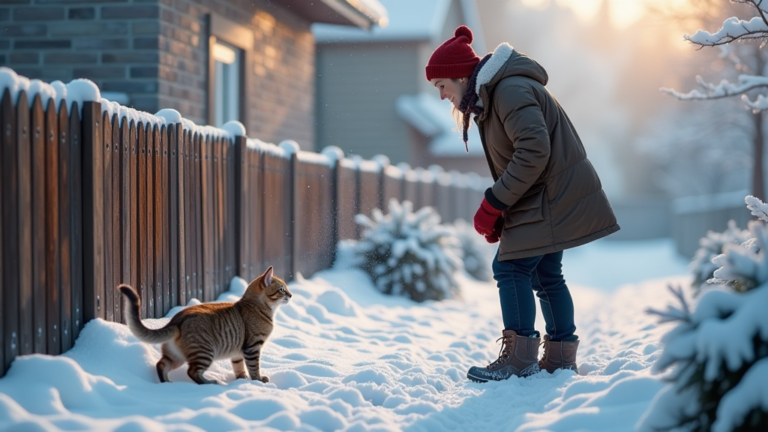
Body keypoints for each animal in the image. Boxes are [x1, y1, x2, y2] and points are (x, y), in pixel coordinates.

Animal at [117, 266, 292, 384]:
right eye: (282, 289)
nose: (291, 295)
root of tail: (177, 320)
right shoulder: (252, 347)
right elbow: (254, 367)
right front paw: (258, 381)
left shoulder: (237, 352)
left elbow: (239, 367)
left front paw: (241, 380)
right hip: (204, 352)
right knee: (192, 372)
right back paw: (210, 383)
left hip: (175, 356)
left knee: (161, 365)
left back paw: (168, 384)